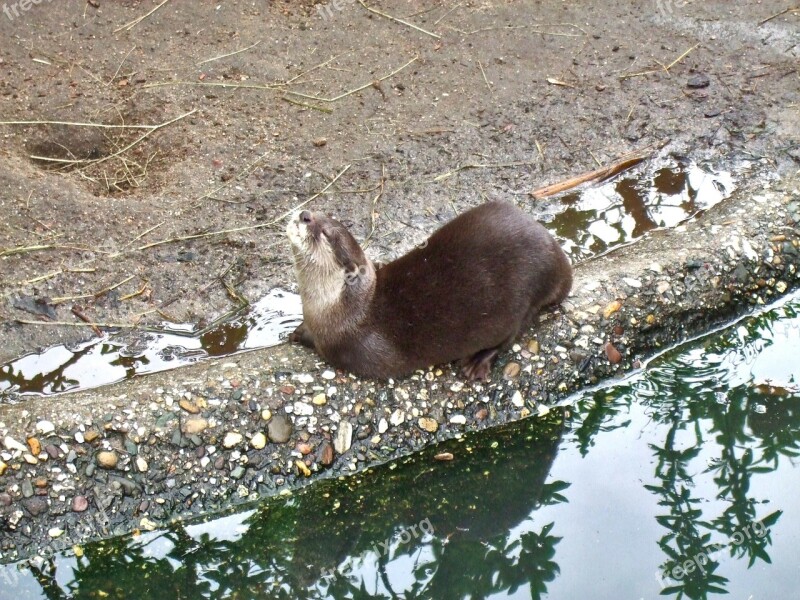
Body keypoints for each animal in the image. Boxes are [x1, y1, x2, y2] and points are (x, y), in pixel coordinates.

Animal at [284, 202, 572, 380]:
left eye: (325, 233)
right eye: (321, 213)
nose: (305, 214)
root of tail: (558, 260)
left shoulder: (338, 344)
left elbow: (321, 347)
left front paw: (303, 335)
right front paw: (297, 330)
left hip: (520, 302)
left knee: (510, 336)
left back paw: (476, 363)